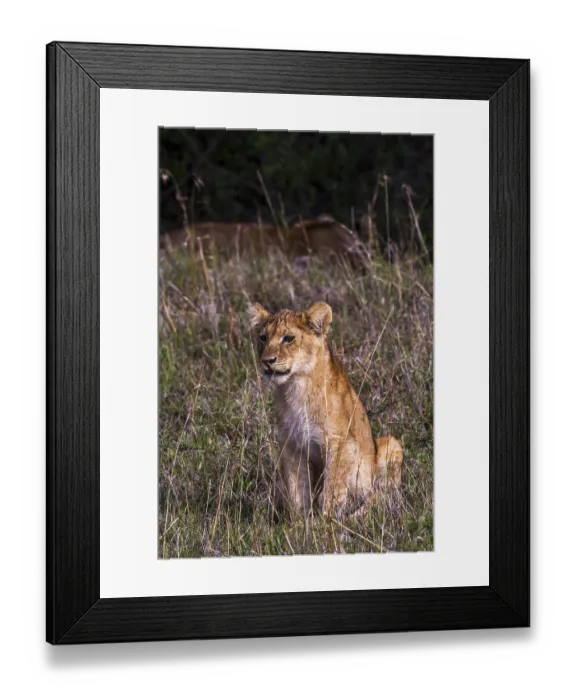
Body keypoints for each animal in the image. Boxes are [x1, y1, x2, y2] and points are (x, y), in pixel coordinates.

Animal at [248, 300, 403, 517]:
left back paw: (354, 518)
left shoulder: (341, 444)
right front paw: (299, 522)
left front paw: (325, 522)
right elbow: (296, 491)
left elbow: (331, 490)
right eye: (263, 337)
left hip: (391, 445)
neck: (296, 387)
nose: (267, 361)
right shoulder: (292, 446)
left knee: (379, 498)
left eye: (288, 339)